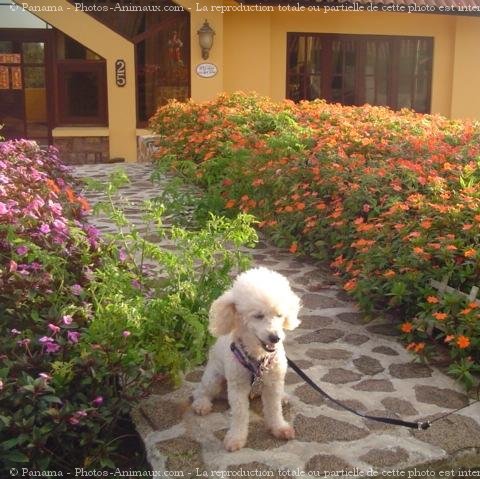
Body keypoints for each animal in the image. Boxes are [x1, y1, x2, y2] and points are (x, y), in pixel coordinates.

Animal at [191, 268, 300, 452]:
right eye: (258, 315)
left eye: (279, 315)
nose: (275, 337)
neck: (258, 357)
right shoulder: (238, 386)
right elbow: (240, 413)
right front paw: (236, 438)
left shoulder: (273, 383)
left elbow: (274, 408)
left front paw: (279, 428)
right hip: (214, 378)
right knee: (202, 391)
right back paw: (201, 404)